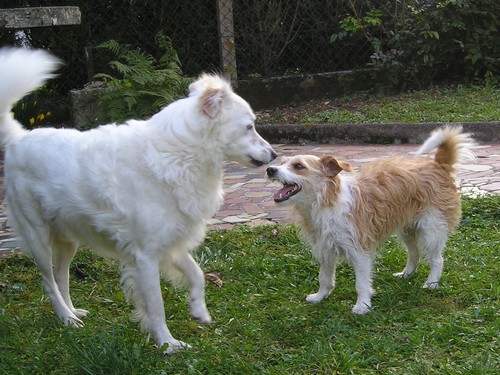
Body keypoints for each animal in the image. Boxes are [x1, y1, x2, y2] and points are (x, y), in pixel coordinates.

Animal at [0, 47, 278, 356]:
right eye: (249, 127)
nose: (274, 155)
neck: (180, 153)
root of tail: (18, 139)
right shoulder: (145, 256)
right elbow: (156, 306)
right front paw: (167, 344)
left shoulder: (170, 242)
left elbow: (197, 274)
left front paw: (198, 311)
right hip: (38, 236)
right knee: (48, 281)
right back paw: (65, 318)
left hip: (67, 238)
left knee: (62, 276)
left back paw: (73, 314)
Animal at [268, 128, 474, 316]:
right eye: (282, 163)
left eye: (298, 166)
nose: (270, 169)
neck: (325, 201)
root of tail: (438, 166)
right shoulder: (326, 248)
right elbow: (324, 277)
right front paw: (320, 296)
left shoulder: (359, 251)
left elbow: (361, 283)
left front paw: (363, 306)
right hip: (408, 229)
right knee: (414, 253)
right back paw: (406, 274)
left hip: (432, 230)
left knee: (437, 259)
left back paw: (431, 283)